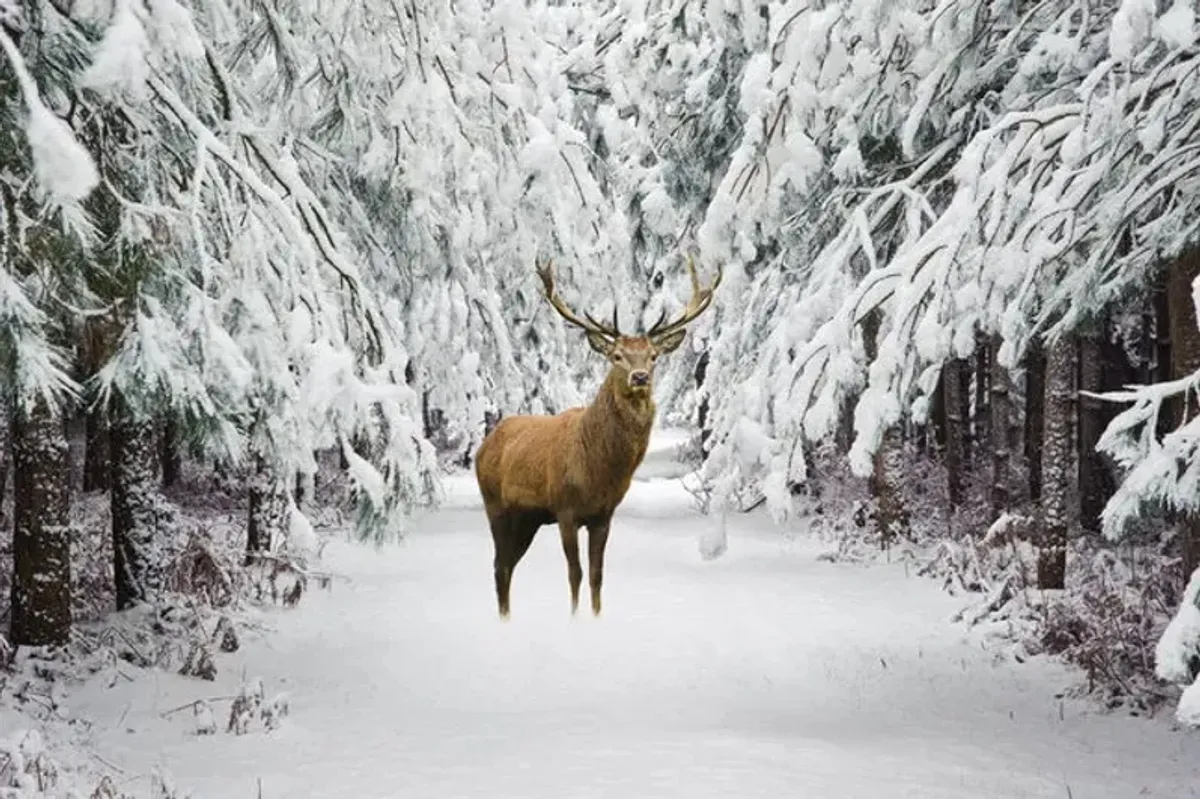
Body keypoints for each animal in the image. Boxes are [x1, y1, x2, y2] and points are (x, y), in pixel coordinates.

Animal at [475, 255, 720, 614]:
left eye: (654, 356)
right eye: (616, 356)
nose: (640, 376)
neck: (598, 470)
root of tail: (484, 444)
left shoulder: (604, 514)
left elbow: (596, 575)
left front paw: (596, 615)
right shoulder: (565, 509)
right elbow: (575, 574)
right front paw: (575, 618)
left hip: (527, 518)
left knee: (506, 565)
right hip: (495, 505)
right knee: (498, 565)